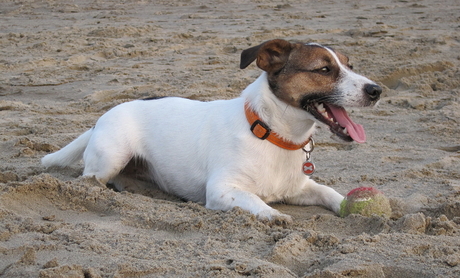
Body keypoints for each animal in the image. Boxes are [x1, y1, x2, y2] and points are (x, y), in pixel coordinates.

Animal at [42, 38, 380, 222]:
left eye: (350, 65)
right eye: (324, 69)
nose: (376, 90)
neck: (272, 134)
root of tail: (101, 117)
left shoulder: (298, 187)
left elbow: (329, 193)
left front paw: (355, 206)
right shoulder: (222, 190)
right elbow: (256, 202)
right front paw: (274, 216)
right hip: (110, 158)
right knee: (88, 180)